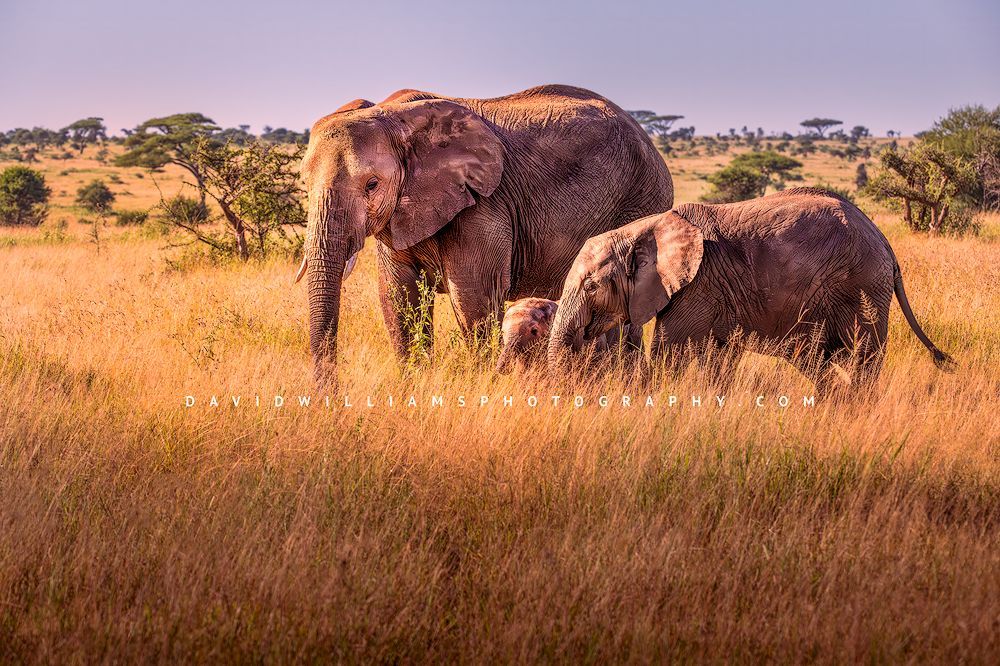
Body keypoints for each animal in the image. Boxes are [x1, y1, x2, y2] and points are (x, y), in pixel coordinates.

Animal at [294, 84, 672, 383]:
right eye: (305, 183)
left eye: (372, 184)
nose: (330, 396)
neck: (395, 116)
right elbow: (398, 296)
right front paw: (413, 386)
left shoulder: (484, 205)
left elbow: (473, 297)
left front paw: (481, 384)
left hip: (641, 199)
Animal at [547, 188, 954, 392]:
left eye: (592, 286)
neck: (644, 229)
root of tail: (885, 243)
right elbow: (720, 358)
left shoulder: (699, 284)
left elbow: (669, 350)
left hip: (862, 286)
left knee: (861, 355)